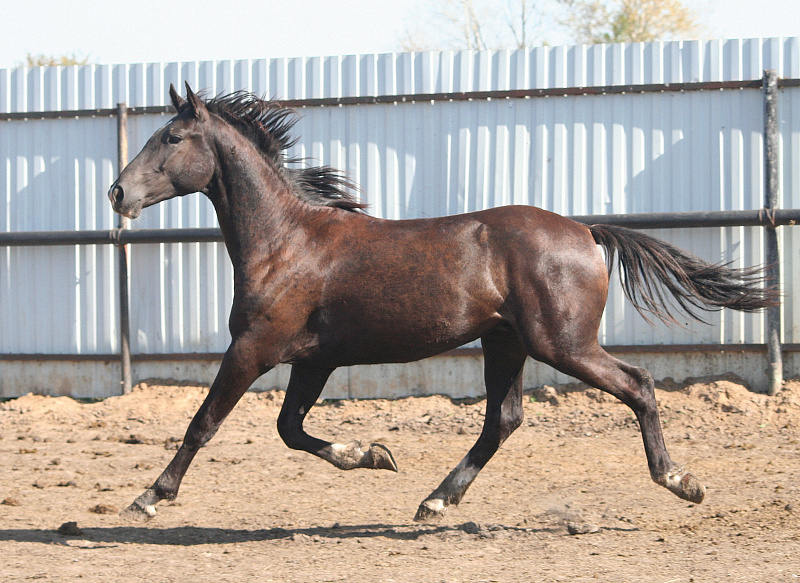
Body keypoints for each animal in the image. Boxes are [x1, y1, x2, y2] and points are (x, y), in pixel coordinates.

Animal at [108, 82, 776, 522]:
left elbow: (204, 424)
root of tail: (586, 232)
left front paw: (149, 497)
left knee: (637, 384)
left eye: (172, 136)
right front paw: (374, 455)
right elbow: (289, 428)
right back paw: (434, 499)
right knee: (503, 419)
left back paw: (680, 481)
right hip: (506, 341)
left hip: (562, 343)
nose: (117, 192)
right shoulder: (313, 359)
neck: (286, 240)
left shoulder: (254, 347)